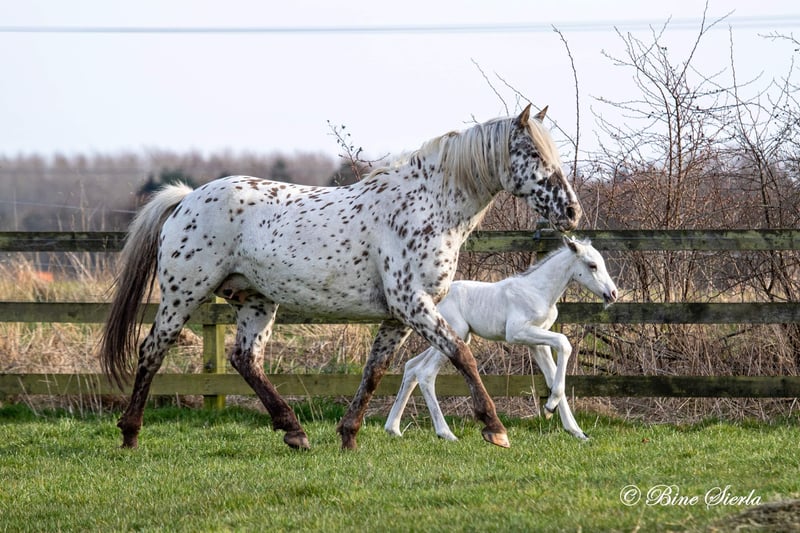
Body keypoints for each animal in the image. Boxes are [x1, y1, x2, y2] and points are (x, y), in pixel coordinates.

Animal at [99, 104, 582, 451]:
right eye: (534, 154)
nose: (572, 211)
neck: (429, 207)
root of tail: (186, 199)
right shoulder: (412, 303)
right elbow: (462, 354)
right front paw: (494, 427)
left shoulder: (397, 316)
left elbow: (376, 370)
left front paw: (349, 435)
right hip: (183, 295)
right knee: (152, 351)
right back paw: (130, 434)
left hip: (256, 301)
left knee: (245, 359)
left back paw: (294, 432)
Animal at [385, 237, 617, 442]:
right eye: (592, 265)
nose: (613, 294)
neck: (538, 291)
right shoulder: (517, 333)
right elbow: (564, 343)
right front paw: (550, 408)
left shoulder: (537, 344)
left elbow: (552, 377)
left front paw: (574, 429)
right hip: (454, 337)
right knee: (425, 373)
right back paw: (445, 433)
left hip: (455, 339)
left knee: (412, 366)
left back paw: (393, 428)